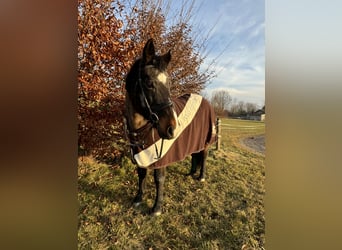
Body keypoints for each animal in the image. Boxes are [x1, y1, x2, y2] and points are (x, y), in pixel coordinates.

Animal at [125, 39, 216, 215]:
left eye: (169, 84)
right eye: (149, 83)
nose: (172, 129)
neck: (141, 130)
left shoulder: (161, 158)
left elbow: (159, 179)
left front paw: (157, 208)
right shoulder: (141, 154)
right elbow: (141, 173)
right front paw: (138, 199)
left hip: (206, 141)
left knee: (204, 156)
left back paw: (201, 176)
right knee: (194, 155)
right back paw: (191, 173)